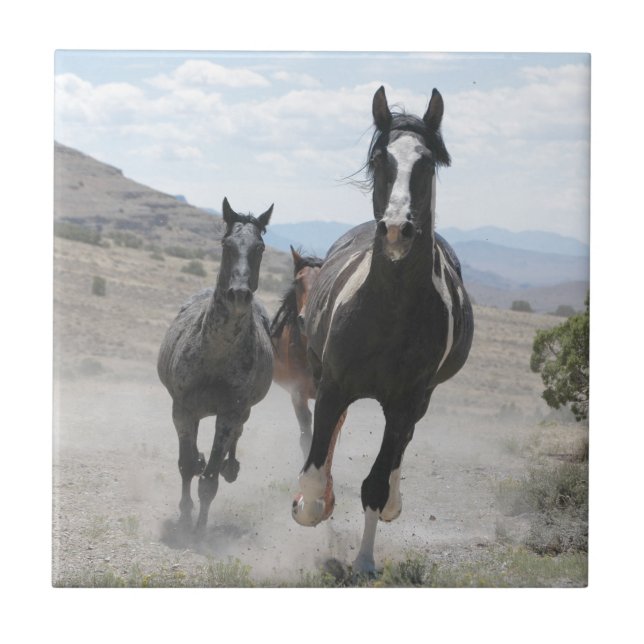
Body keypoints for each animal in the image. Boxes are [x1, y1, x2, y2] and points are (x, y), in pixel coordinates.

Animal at [157, 197, 274, 534]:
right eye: (227, 244)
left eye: (260, 247)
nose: (239, 294)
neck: (216, 354)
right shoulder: (182, 409)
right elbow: (185, 466)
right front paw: (185, 517)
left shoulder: (229, 413)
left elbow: (209, 480)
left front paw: (199, 531)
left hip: (241, 412)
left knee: (236, 438)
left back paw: (230, 466)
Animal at [291, 86, 474, 575]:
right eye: (379, 159)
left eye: (427, 163)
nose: (396, 229)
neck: (388, 312)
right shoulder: (333, 386)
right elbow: (315, 471)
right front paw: (311, 505)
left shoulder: (407, 401)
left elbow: (374, 483)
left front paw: (364, 561)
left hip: (420, 401)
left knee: (398, 451)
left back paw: (393, 500)